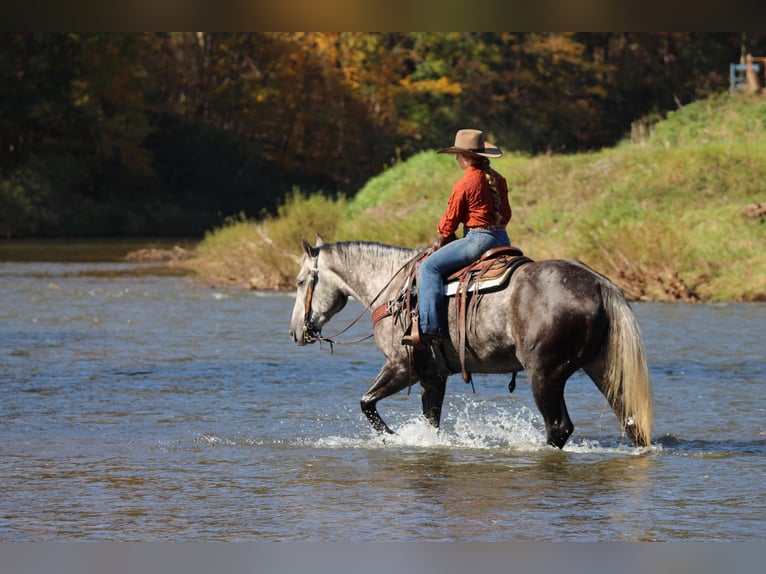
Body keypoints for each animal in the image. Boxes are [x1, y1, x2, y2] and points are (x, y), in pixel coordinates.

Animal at [289, 236, 653, 449]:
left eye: (301, 281)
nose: (295, 332)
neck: (395, 290)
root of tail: (599, 284)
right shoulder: (433, 376)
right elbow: (431, 421)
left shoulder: (401, 366)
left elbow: (366, 403)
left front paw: (393, 437)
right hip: (603, 369)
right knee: (631, 422)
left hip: (545, 375)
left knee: (558, 428)